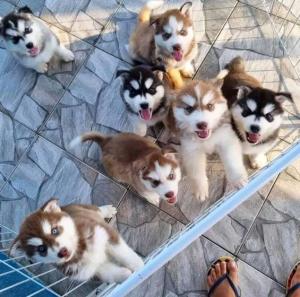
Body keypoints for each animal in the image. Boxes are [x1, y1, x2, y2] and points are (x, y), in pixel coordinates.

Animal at [9, 198, 144, 280]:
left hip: (84, 209)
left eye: (54, 230)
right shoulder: (83, 269)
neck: (80, 250)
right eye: (42, 249)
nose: (62, 252)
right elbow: (105, 272)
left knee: (97, 209)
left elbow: (123, 253)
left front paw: (138, 266)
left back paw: (107, 210)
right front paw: (123, 275)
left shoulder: (104, 232)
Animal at [166, 71, 248, 200]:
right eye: (189, 109)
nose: (202, 125)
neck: (207, 138)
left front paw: (238, 178)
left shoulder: (226, 140)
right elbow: (196, 171)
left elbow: (232, 161)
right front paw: (200, 188)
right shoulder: (191, 150)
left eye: (210, 106)